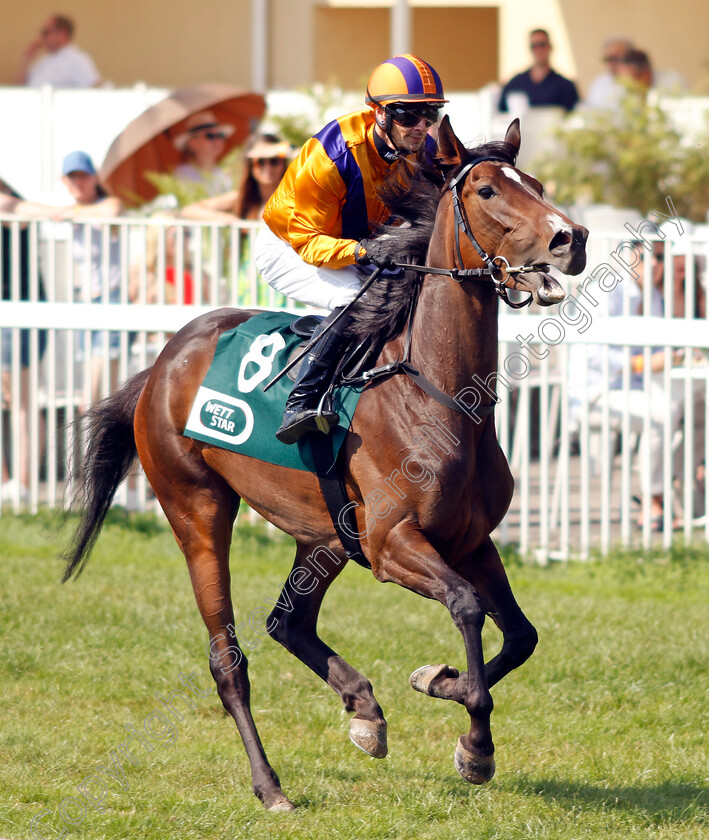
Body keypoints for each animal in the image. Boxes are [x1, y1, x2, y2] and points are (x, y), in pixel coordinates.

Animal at [65, 115, 588, 812]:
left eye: (536, 184)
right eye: (486, 191)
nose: (571, 237)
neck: (436, 392)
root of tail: (160, 364)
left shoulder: (471, 539)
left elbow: (520, 635)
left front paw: (434, 678)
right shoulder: (393, 542)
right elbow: (467, 606)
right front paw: (476, 746)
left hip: (325, 536)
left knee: (288, 622)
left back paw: (364, 710)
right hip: (196, 509)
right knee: (228, 661)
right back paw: (271, 786)